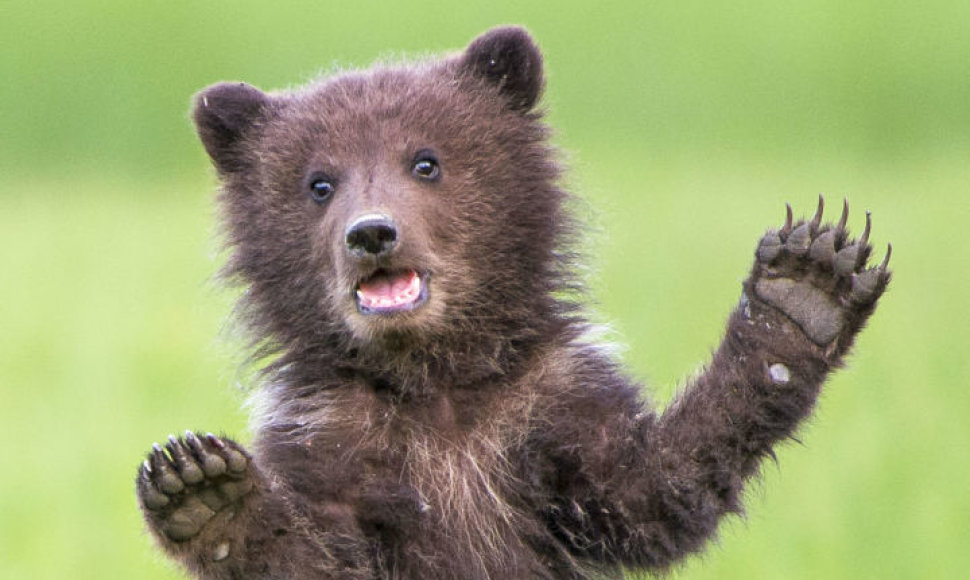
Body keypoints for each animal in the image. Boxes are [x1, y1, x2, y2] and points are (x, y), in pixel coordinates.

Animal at [136, 27, 892, 580]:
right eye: (319, 183)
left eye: (426, 161)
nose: (371, 233)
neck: (433, 380)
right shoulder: (326, 440)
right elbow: (312, 555)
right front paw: (201, 487)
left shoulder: (549, 407)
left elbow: (654, 487)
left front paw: (802, 288)